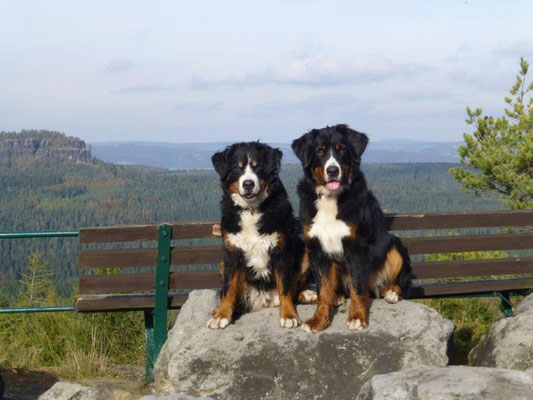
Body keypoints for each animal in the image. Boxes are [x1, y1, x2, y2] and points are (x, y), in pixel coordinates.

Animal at [208, 142, 316, 330]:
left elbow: (285, 288)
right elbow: (229, 288)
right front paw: (222, 315)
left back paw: (308, 294)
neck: (252, 209)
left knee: (293, 291)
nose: (248, 184)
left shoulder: (281, 250)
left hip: (305, 254)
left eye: (258, 167)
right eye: (237, 168)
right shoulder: (232, 253)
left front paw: (289, 315)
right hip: (221, 264)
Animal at [290, 123, 412, 332]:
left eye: (341, 150)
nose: (332, 170)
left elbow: (357, 286)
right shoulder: (316, 248)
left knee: (396, 281)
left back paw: (392, 292)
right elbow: (323, 289)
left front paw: (357, 316)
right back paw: (337, 296)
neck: (331, 198)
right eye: (320, 150)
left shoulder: (357, 247)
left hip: (394, 246)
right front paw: (319, 319)